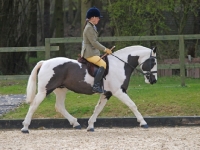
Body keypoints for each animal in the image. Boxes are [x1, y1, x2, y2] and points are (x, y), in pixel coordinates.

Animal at [21, 45, 157, 133]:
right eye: (153, 62)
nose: (154, 81)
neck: (120, 65)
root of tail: (44, 62)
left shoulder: (107, 93)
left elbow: (98, 109)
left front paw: (90, 126)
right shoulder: (119, 91)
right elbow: (132, 105)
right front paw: (143, 123)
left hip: (61, 90)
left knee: (59, 106)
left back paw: (76, 124)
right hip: (45, 90)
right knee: (34, 105)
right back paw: (25, 128)